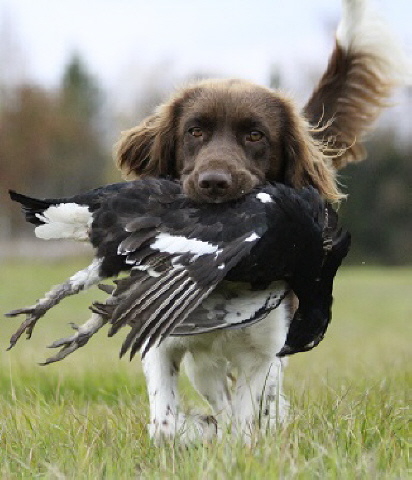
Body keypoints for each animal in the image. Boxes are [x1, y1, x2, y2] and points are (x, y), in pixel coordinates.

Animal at [110, 0, 408, 442]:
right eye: (194, 131)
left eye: (255, 135)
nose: (214, 183)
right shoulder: (162, 339)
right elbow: (167, 424)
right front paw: (199, 431)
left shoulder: (263, 351)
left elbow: (246, 418)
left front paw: (239, 435)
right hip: (204, 361)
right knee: (215, 388)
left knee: (262, 394)